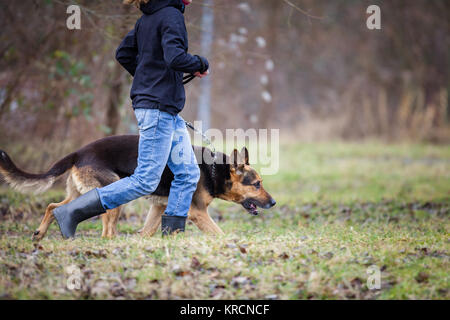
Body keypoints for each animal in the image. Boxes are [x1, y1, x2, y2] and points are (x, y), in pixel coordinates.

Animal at [0, 134, 276, 241]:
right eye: (257, 185)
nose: (273, 203)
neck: (215, 169)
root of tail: (79, 152)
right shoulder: (198, 213)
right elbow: (219, 233)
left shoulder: (159, 209)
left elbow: (147, 231)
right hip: (115, 194)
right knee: (106, 229)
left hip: (80, 192)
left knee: (53, 206)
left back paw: (40, 233)